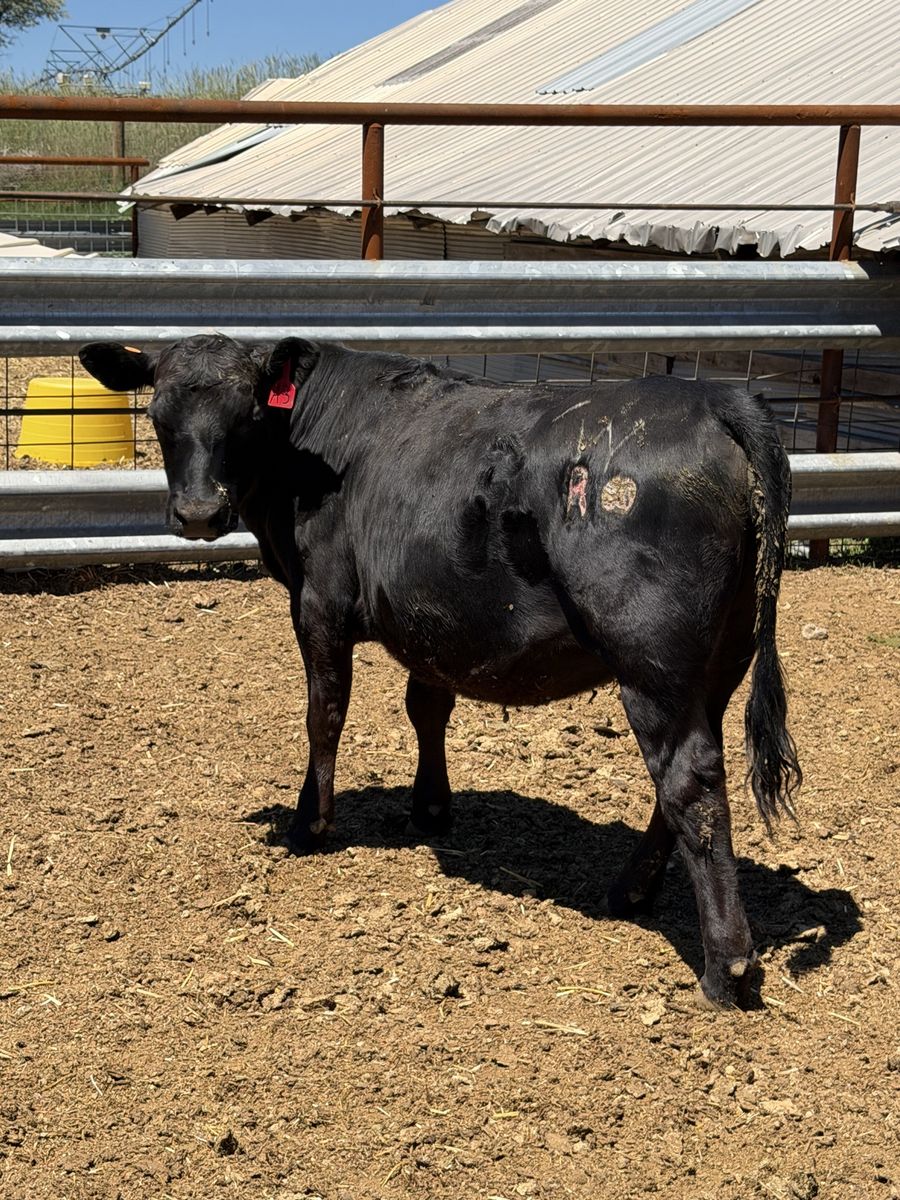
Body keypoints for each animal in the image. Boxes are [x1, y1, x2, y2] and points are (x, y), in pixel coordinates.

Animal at [79, 333, 801, 1009]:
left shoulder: (319, 602)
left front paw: (309, 823)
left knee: (689, 781)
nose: (199, 513)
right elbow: (427, 707)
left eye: (250, 411)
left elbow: (325, 714)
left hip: (653, 663)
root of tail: (713, 399)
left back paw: (727, 966)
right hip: (720, 660)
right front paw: (429, 807)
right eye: (159, 413)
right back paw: (629, 892)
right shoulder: (431, 610)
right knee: (684, 783)